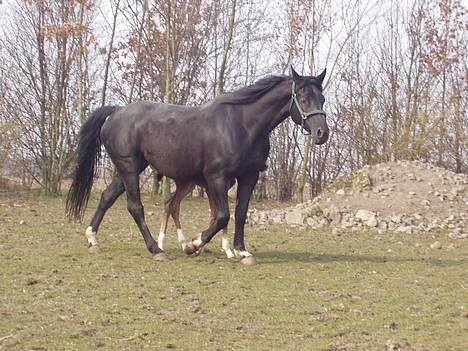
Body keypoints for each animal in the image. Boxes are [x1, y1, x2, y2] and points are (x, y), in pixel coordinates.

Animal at [66, 66, 330, 264]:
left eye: (322, 98)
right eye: (303, 98)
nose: (322, 133)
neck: (242, 124)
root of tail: (117, 112)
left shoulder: (249, 177)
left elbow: (240, 214)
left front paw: (241, 250)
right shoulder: (216, 177)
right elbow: (222, 216)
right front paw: (193, 245)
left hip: (127, 171)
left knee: (107, 197)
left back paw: (92, 239)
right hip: (130, 169)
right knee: (135, 207)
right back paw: (156, 249)